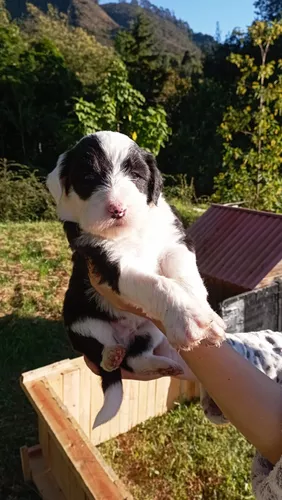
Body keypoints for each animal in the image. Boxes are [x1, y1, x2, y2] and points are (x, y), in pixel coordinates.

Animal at [47, 133, 226, 430]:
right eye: (88, 176)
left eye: (137, 176)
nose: (117, 209)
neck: (133, 232)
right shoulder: (112, 262)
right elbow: (157, 283)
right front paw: (190, 318)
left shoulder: (174, 241)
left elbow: (185, 275)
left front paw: (203, 315)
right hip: (78, 320)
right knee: (102, 351)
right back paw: (111, 356)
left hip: (150, 330)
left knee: (136, 356)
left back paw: (162, 365)